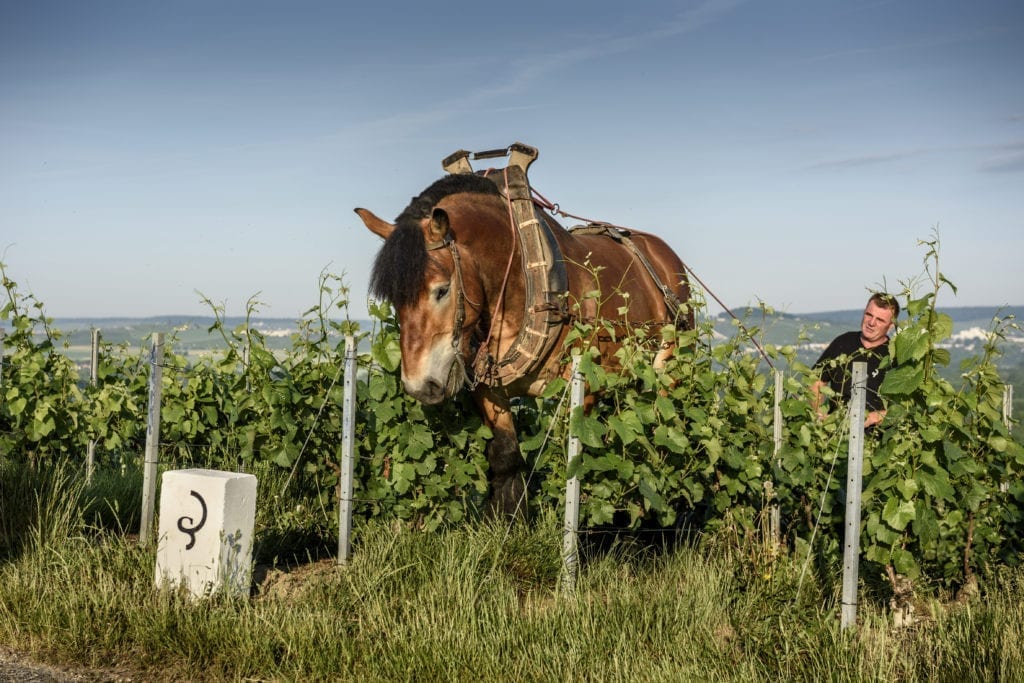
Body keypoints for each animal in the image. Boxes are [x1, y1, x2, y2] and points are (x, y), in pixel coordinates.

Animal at [357, 169, 692, 518]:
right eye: (394, 298)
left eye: (441, 290)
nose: (419, 386)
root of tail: (662, 253)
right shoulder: (487, 388)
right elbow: (505, 455)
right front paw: (507, 519)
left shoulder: (584, 386)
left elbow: (570, 455)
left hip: (670, 369)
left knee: (663, 426)